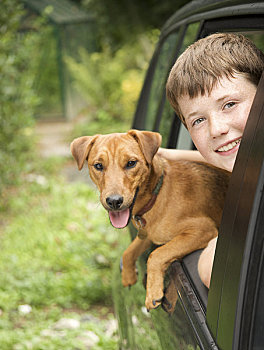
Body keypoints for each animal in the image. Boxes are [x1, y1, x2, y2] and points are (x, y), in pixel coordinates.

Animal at [70, 130, 229, 310]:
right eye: (98, 166)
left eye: (131, 163)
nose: (114, 201)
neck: (157, 194)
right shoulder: (147, 234)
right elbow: (128, 252)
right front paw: (128, 275)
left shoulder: (203, 229)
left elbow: (156, 254)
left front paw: (152, 291)